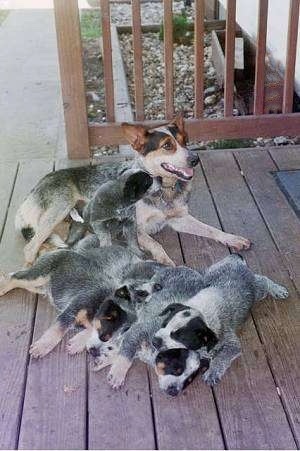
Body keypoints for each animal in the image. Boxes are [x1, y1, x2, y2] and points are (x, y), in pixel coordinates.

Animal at [16, 115, 251, 266]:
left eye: (185, 141)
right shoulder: (134, 226)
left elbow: (212, 229)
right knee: (31, 247)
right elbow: (156, 244)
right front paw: (165, 260)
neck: (164, 190)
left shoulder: (179, 219)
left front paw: (233, 239)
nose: (195, 159)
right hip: (61, 207)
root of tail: (30, 194)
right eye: (167, 146)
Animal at [152, 256, 288, 386]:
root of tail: (234, 260)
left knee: (263, 280)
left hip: (257, 291)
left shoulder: (231, 343)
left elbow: (222, 357)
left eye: (179, 337)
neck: (200, 311)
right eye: (164, 324)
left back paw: (277, 289)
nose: (154, 341)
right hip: (207, 275)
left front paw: (213, 372)